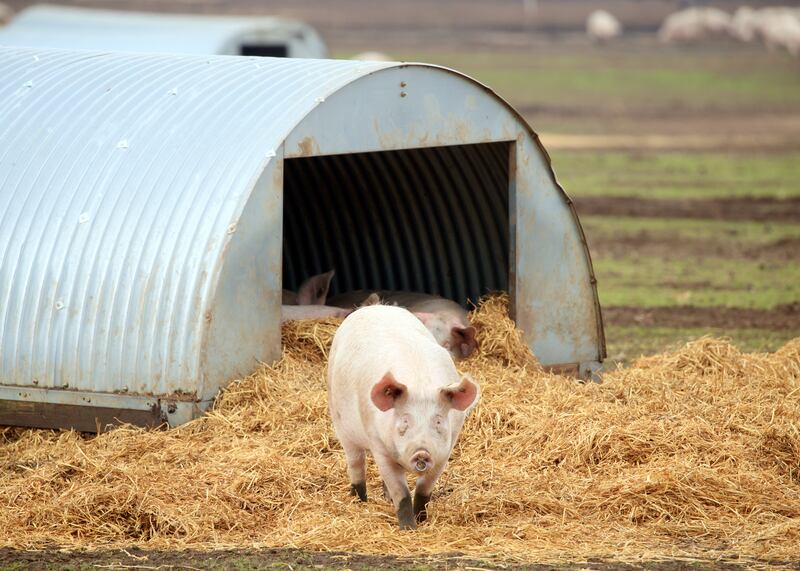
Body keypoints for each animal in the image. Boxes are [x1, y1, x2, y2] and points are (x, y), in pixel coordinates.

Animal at [326, 306, 482, 528]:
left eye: (438, 421)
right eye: (405, 421)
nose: (422, 452)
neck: (420, 385)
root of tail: (375, 307)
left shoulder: (445, 451)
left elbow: (424, 490)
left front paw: (422, 520)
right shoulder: (378, 445)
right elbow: (402, 493)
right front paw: (409, 529)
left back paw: (385, 498)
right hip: (340, 422)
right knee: (356, 463)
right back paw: (359, 502)